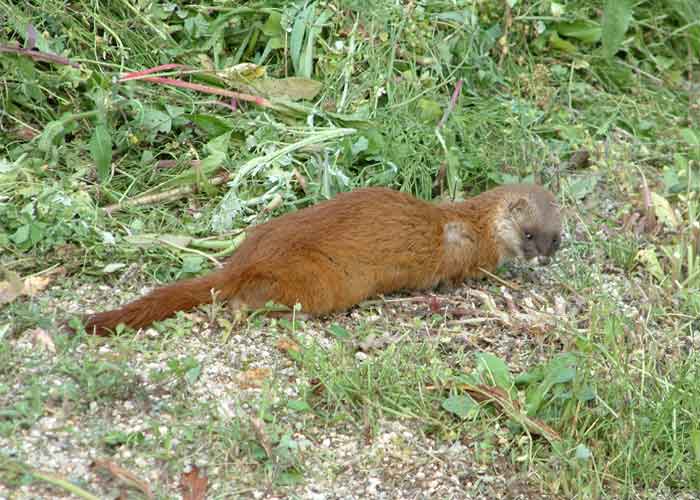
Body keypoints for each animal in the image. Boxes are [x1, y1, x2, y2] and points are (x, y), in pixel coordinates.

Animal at [82, 184, 564, 336]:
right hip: (321, 280)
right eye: (529, 235)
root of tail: (250, 253)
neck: (471, 223)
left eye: (556, 239)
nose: (544, 257)